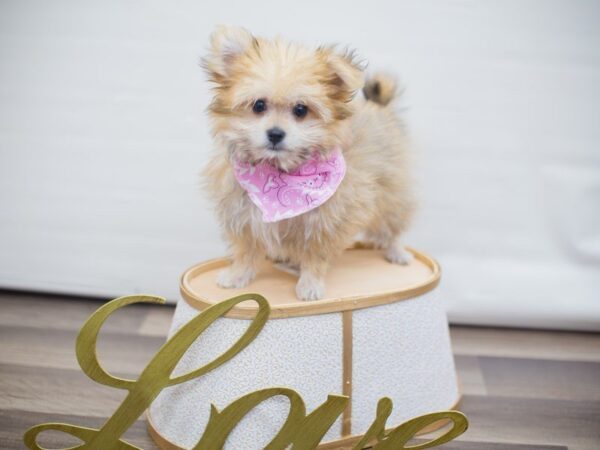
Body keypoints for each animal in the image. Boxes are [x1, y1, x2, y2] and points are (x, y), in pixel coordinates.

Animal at [199, 26, 414, 300]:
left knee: (392, 227)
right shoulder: (243, 217)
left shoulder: (324, 223)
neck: (280, 171)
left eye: (301, 110)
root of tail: (379, 107)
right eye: (259, 105)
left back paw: (397, 252)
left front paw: (310, 284)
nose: (275, 134)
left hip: (392, 195)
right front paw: (238, 274)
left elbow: (315, 256)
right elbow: (246, 249)